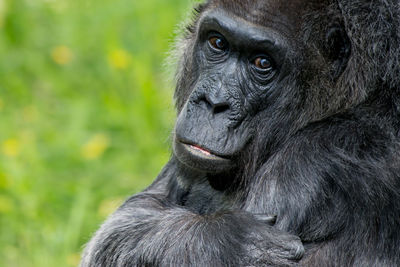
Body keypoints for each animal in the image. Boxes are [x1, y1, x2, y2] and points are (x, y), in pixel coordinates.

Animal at [79, 0, 400, 266]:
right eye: (217, 42)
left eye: (262, 62)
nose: (213, 102)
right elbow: (126, 221)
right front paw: (226, 241)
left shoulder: (309, 168)